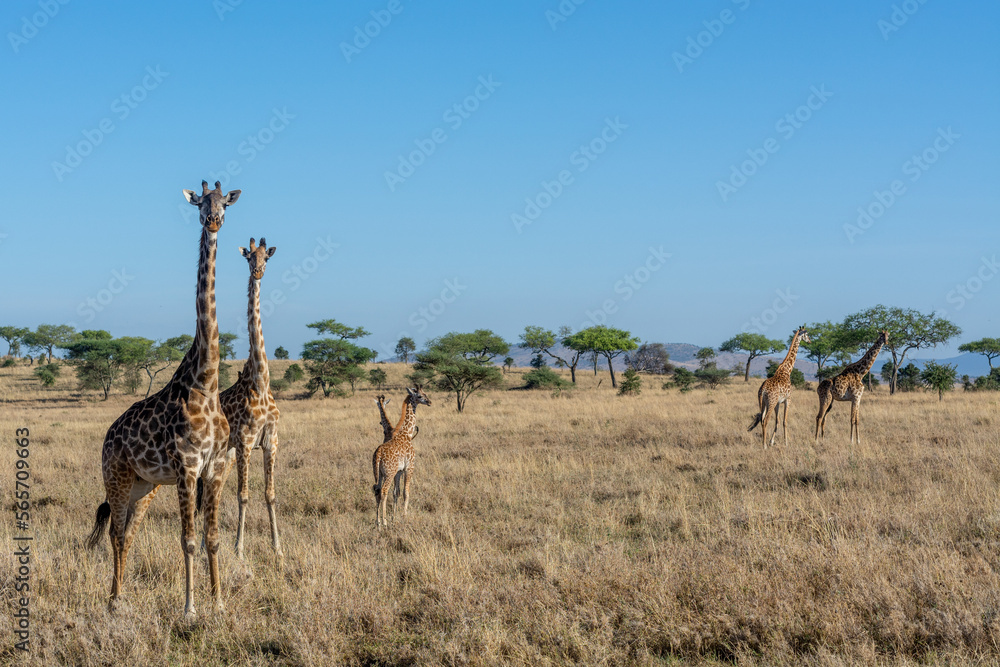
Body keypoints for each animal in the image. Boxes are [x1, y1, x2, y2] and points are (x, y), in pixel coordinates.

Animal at [86, 180, 238, 618]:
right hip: (117, 477)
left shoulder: (215, 467)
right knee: (116, 533)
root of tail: (108, 436)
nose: (213, 221)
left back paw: (122, 596)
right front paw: (189, 609)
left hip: (145, 486)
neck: (206, 381)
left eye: (226, 203)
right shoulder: (187, 467)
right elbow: (186, 540)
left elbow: (212, 538)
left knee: (129, 534)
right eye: (200, 203)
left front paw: (218, 604)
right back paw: (114, 601)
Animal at [372, 386, 431, 529]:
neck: (407, 433)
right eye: (419, 396)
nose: (429, 402)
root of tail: (378, 453)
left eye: (425, 393)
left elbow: (396, 492)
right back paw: (384, 522)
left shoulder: (399, 471)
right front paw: (404, 515)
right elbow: (406, 492)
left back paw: (378, 522)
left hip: (379, 473)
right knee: (383, 491)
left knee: (377, 490)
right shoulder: (409, 467)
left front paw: (394, 517)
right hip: (389, 472)